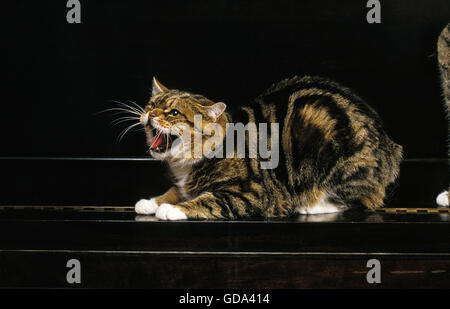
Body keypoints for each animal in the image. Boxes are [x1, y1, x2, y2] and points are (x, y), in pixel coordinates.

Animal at [135, 75, 402, 219]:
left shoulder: (250, 193)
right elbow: (174, 190)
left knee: (356, 198)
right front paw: (151, 202)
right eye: (152, 105)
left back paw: (311, 205)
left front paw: (171, 209)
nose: (150, 114)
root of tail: (390, 148)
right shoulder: (182, 185)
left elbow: (208, 200)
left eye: (174, 113)